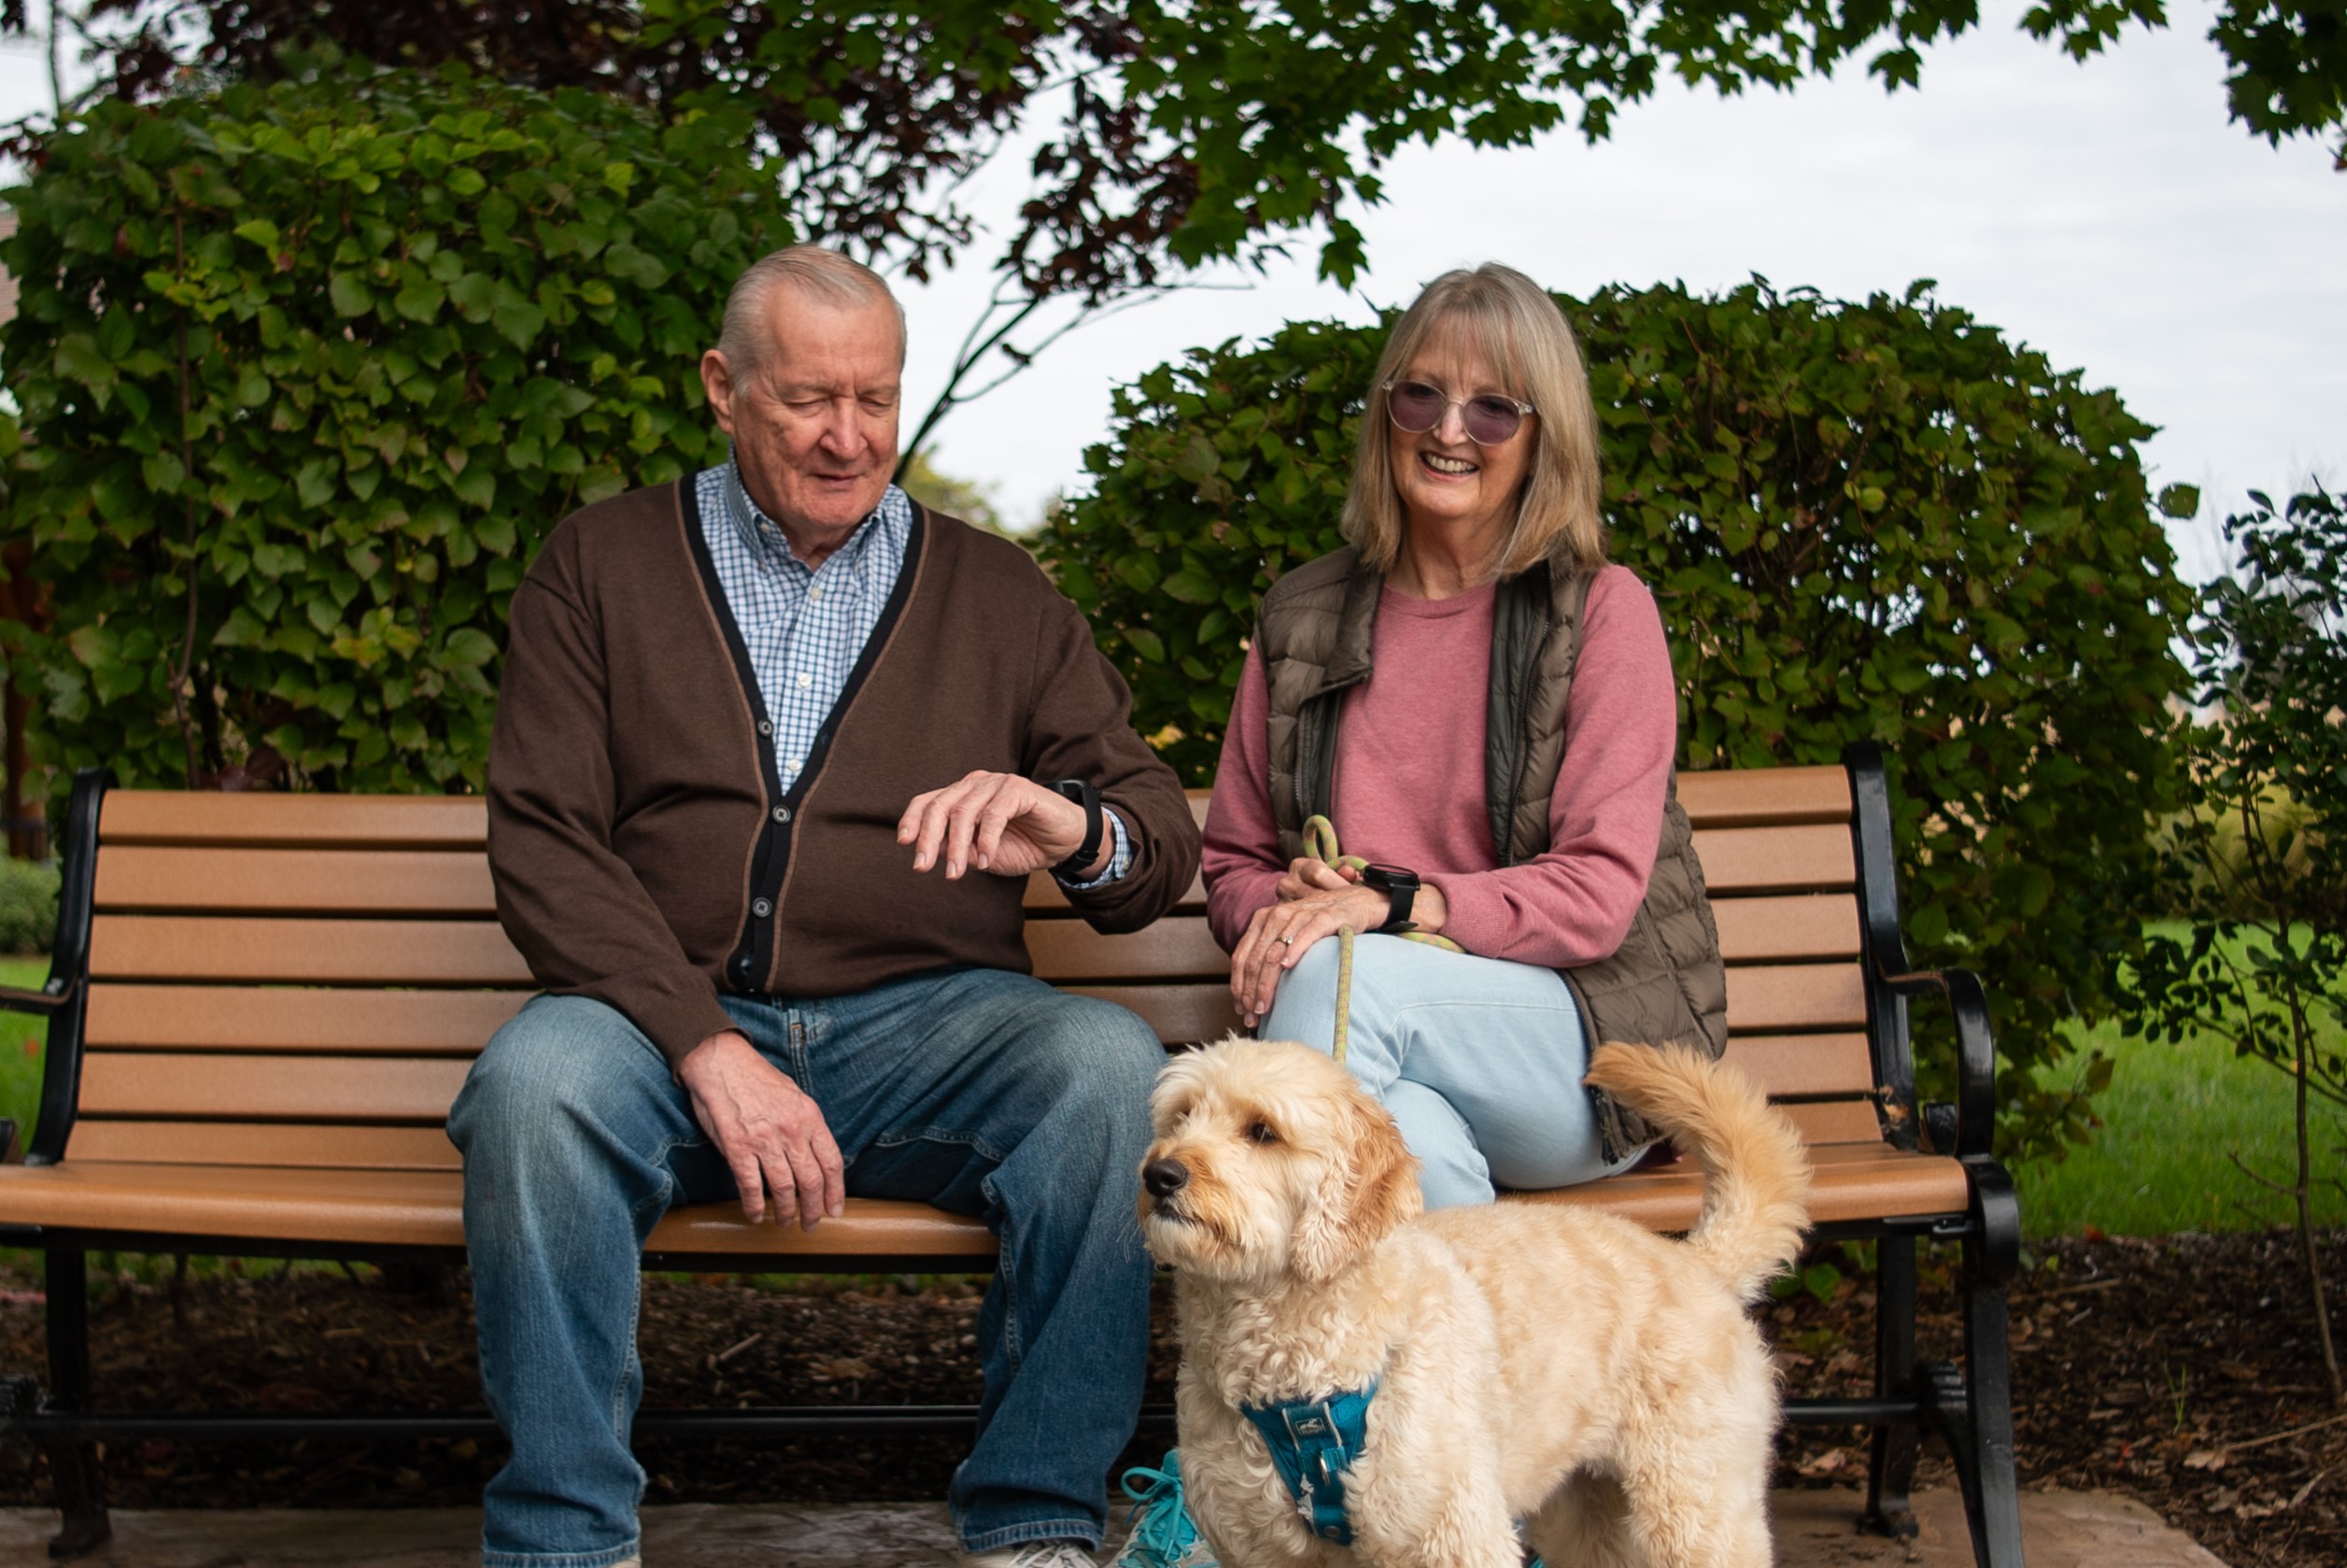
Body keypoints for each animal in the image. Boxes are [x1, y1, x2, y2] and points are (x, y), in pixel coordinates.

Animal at [1140, 1041, 1812, 1568]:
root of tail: (1696, 1261)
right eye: (1180, 1116)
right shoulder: (1263, 1549)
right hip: (1587, 1510)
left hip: (1695, 1507)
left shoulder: (1450, 1536)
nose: (1160, 1175)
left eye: (1261, 1130)